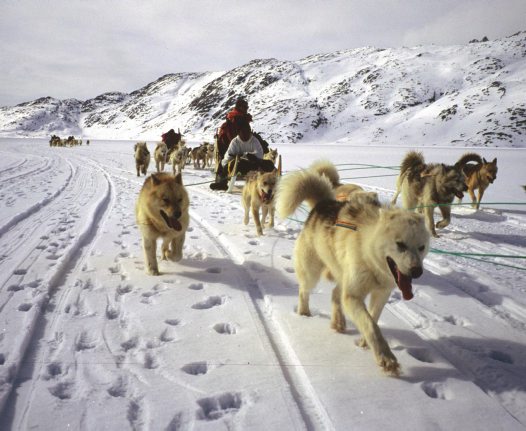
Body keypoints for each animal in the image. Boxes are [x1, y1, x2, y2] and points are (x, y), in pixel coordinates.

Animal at [276, 167, 430, 376]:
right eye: (400, 244)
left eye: (421, 247)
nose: (416, 271)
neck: (371, 257)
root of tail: (324, 203)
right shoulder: (353, 296)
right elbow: (370, 325)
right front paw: (386, 358)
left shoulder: (381, 294)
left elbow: (373, 319)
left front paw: (365, 343)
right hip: (312, 273)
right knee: (304, 292)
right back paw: (304, 314)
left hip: (344, 276)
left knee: (335, 294)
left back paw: (338, 322)